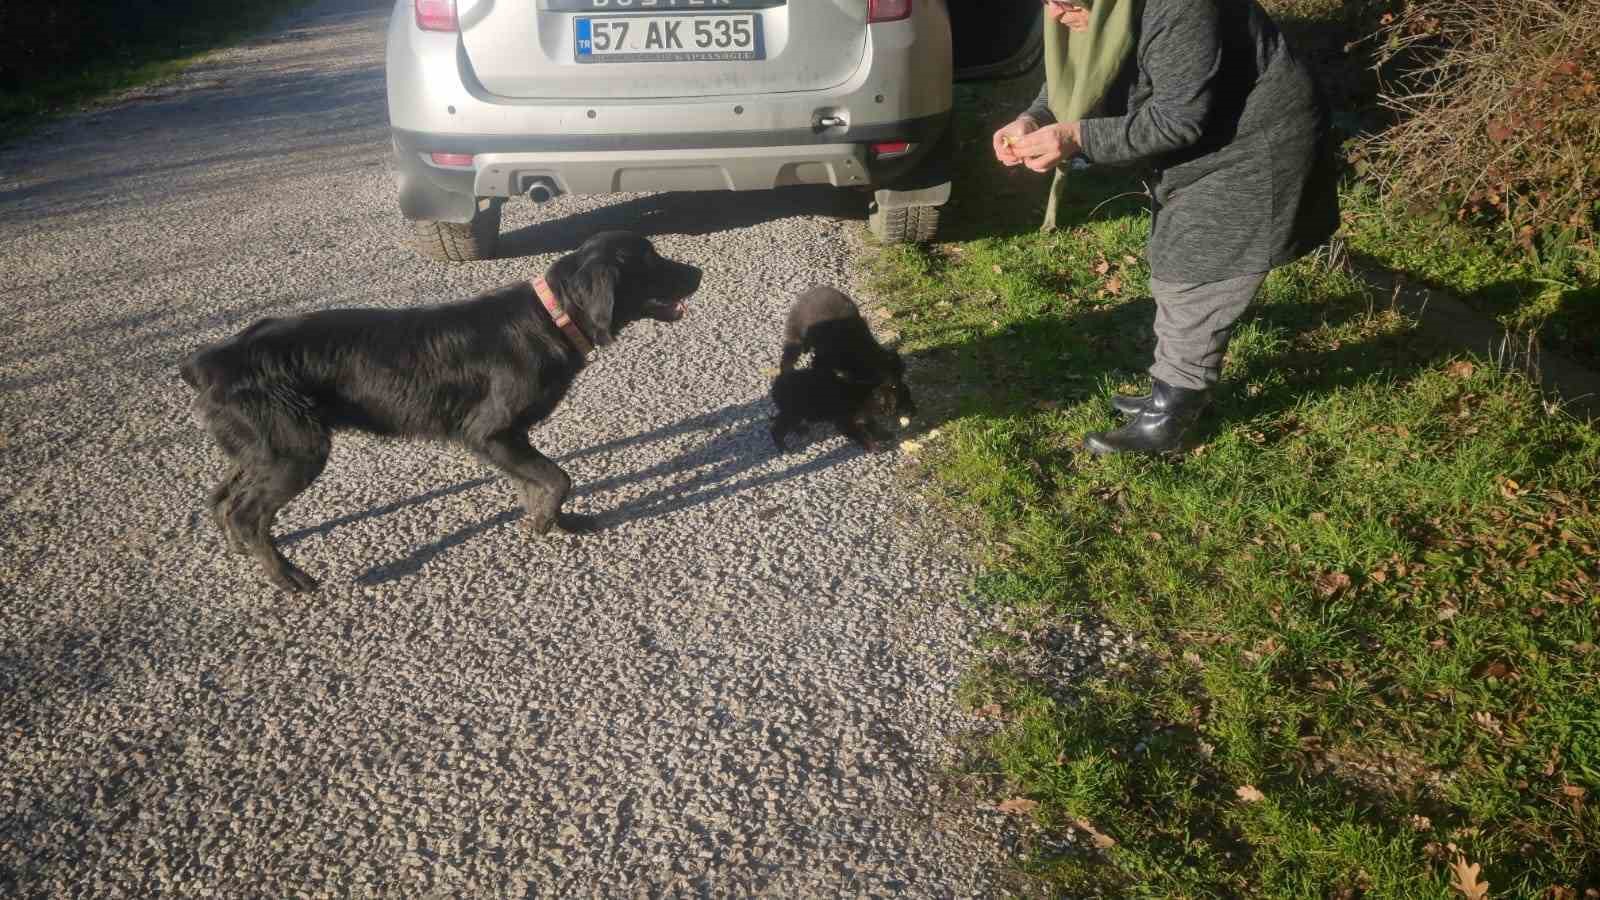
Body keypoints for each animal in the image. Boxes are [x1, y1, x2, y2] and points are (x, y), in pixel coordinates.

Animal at [180, 229, 700, 589]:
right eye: (651, 262)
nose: (698, 273)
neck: (548, 320)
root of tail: (210, 360)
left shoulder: (507, 441)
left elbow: (534, 484)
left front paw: (557, 522)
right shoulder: (490, 432)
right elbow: (558, 479)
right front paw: (545, 523)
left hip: (263, 448)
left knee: (223, 499)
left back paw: (245, 552)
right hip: (296, 451)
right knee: (247, 513)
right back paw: (288, 578)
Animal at [774, 283, 915, 416]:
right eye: (893, 386)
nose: (895, 410)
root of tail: (808, 293)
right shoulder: (826, 358)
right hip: (796, 329)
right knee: (790, 353)